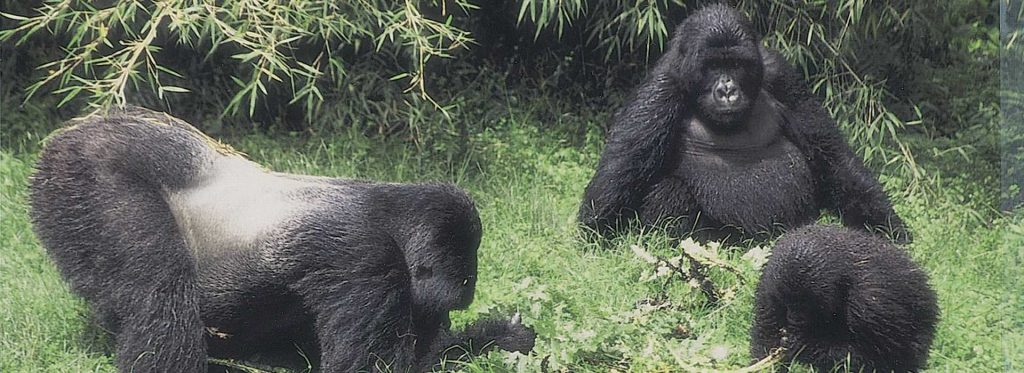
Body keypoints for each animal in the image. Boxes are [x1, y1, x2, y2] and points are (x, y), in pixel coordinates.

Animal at [28, 106, 536, 370]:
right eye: (460, 288)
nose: (448, 314)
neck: (392, 212)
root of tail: (72, 129)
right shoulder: (365, 259)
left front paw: (502, 338)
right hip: (89, 170)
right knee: (160, 288)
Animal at [581, 4, 909, 242]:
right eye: (713, 66)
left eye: (736, 64)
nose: (727, 90)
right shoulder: (663, 87)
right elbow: (622, 171)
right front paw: (594, 240)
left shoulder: (781, 74)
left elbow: (832, 157)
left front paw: (885, 226)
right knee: (672, 190)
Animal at [749, 224, 937, 373]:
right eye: (788, 303)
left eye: (806, 305)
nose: (795, 318)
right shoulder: (769, 283)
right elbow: (766, 336)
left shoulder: (871, 304)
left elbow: (872, 357)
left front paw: (802, 346)